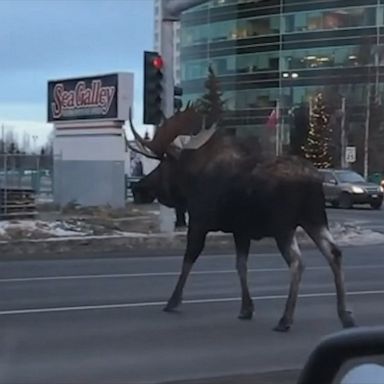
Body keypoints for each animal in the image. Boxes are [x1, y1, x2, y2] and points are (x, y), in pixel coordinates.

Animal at [127, 104, 356, 330]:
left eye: (163, 165)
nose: (138, 188)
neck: (191, 181)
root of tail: (313, 181)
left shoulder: (199, 223)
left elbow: (188, 260)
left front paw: (173, 301)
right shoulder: (241, 231)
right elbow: (241, 266)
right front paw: (246, 308)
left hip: (283, 227)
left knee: (297, 262)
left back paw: (286, 319)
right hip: (315, 219)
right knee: (334, 253)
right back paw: (345, 314)